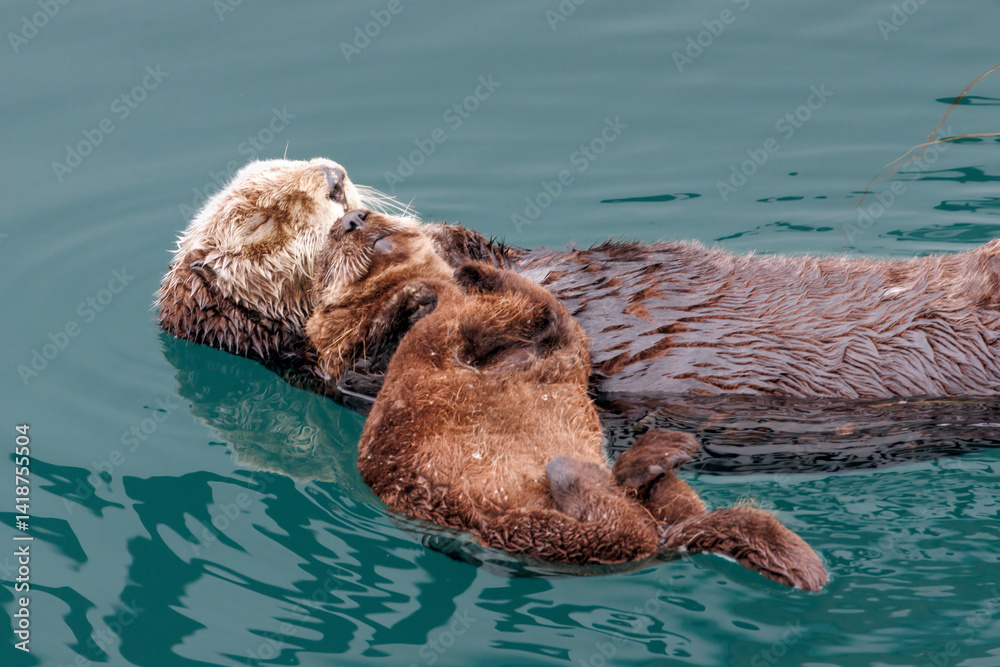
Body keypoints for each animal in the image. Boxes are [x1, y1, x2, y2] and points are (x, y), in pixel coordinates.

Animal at [305, 210, 828, 590]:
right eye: (327, 254)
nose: (354, 218)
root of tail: (667, 542)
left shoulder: (550, 344)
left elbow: (545, 317)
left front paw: (455, 275)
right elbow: (367, 341)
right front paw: (412, 299)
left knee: (658, 506)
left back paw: (652, 459)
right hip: (523, 528)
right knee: (622, 527)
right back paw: (591, 469)